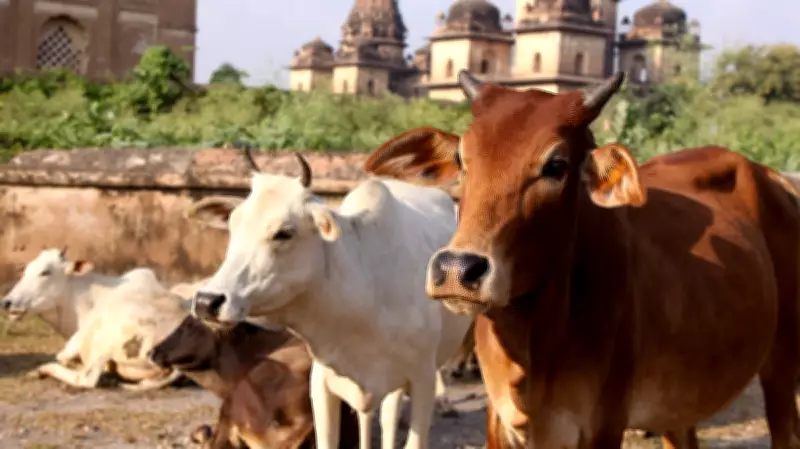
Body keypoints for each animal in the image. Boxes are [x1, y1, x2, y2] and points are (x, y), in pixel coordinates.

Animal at [1, 248, 187, 390]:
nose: (7, 302)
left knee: (86, 379)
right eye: (26, 270)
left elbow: (64, 357)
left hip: (104, 340)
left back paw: (43, 370)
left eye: (45, 272)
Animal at [362, 70, 800, 449]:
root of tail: (776, 180)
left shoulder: (602, 425)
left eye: (556, 165)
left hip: (780, 367)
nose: (456, 270)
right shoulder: (499, 421)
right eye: (461, 159)